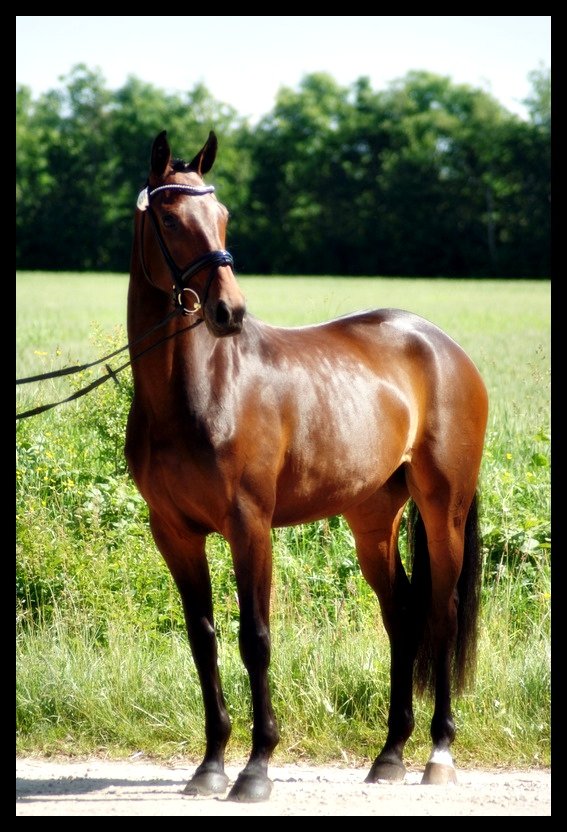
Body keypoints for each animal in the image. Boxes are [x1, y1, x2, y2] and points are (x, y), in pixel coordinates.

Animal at [125, 130, 488, 803]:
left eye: (223, 215)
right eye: (170, 217)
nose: (229, 311)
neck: (200, 390)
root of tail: (443, 346)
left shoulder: (250, 526)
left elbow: (255, 638)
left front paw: (255, 768)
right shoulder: (175, 534)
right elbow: (203, 638)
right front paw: (210, 765)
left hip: (443, 509)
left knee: (442, 614)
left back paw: (439, 753)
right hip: (373, 519)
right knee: (402, 615)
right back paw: (389, 754)